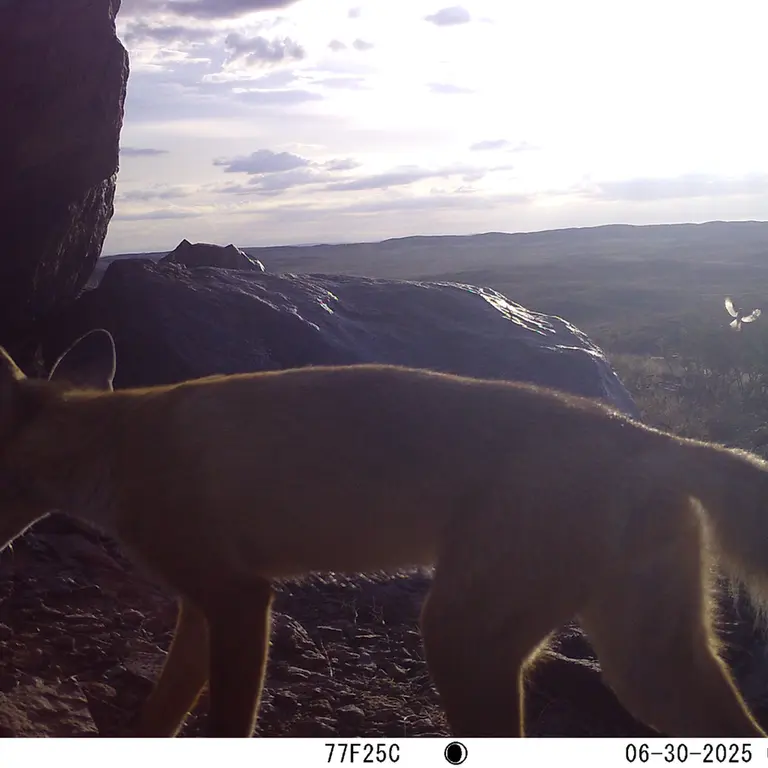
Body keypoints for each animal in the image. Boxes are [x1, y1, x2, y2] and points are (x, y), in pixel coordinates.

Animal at [1, 327, 768, 738]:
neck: (115, 444)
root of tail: (649, 437)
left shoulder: (240, 599)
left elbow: (226, 725)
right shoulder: (202, 608)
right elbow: (159, 717)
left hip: (460, 638)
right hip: (646, 670)